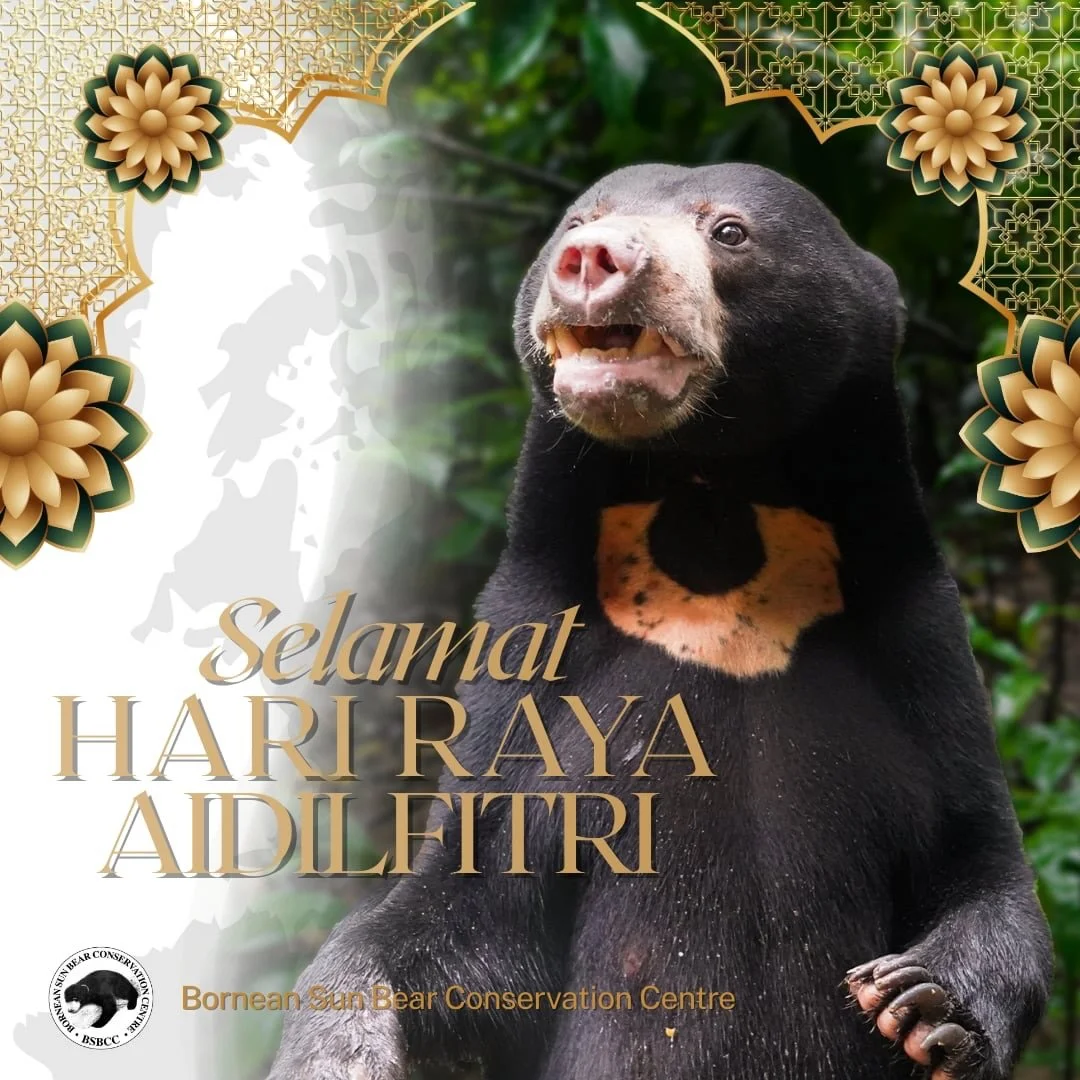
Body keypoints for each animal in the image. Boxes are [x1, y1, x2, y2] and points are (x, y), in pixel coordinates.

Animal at [268, 163, 1053, 1080]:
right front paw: (338, 1048)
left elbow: (983, 863)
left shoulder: (918, 640)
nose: (592, 256)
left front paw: (929, 1007)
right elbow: (469, 898)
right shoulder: (530, 648)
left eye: (729, 231)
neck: (712, 529)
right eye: (581, 219)